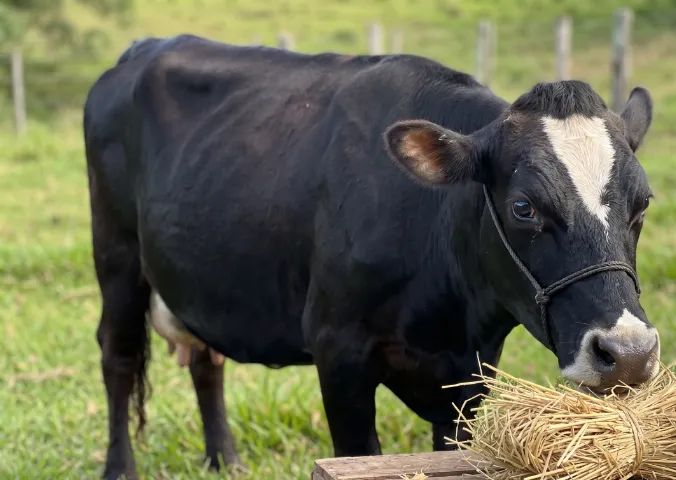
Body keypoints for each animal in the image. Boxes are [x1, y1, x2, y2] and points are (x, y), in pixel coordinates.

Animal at [84, 35, 660, 479]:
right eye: (523, 206)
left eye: (644, 202)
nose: (628, 352)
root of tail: (145, 48)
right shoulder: (338, 350)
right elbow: (357, 452)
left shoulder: (469, 372)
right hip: (116, 254)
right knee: (117, 356)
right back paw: (120, 469)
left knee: (207, 361)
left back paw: (225, 460)